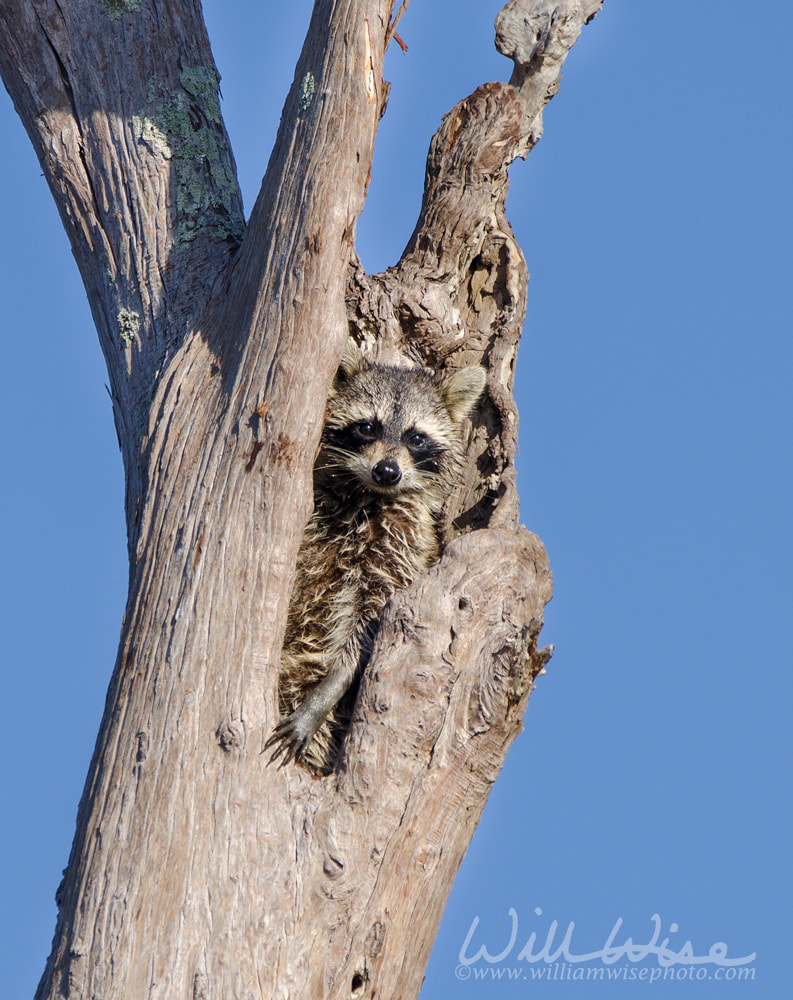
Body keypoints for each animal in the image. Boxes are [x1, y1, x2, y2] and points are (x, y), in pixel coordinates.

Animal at [266, 342, 486, 772]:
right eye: (367, 427)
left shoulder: (404, 549)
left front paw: (327, 692)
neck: (368, 496)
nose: (387, 471)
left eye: (416, 438)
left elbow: (366, 631)